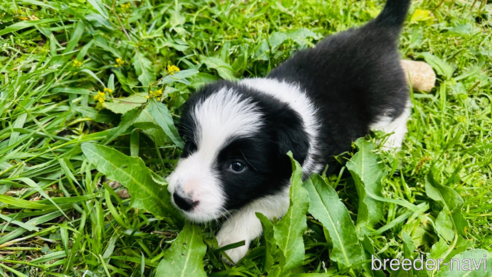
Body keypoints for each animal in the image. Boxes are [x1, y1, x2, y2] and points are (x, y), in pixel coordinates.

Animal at [168, 0, 412, 264]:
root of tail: (380, 29)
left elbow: (257, 208)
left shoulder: (293, 183)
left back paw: (388, 147)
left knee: (400, 111)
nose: (180, 199)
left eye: (237, 166)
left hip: (385, 100)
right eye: (191, 146)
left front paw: (230, 242)